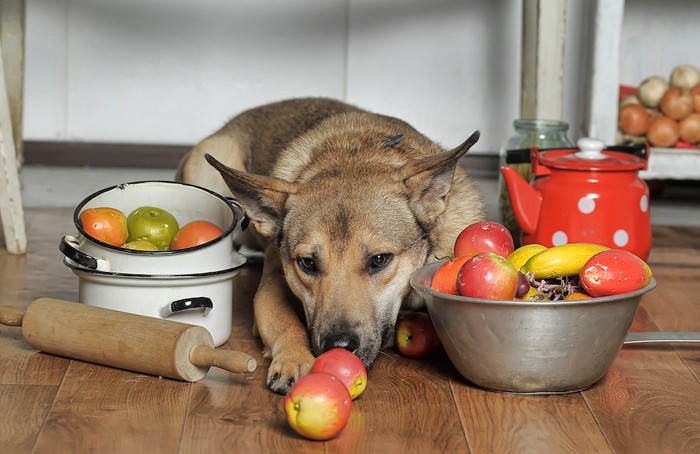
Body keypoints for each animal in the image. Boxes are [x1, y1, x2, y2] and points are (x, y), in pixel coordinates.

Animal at [175, 96, 484, 394]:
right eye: (307, 263)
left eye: (380, 259)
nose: (339, 346)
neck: (357, 154)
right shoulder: (270, 289)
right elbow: (286, 322)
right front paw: (294, 358)